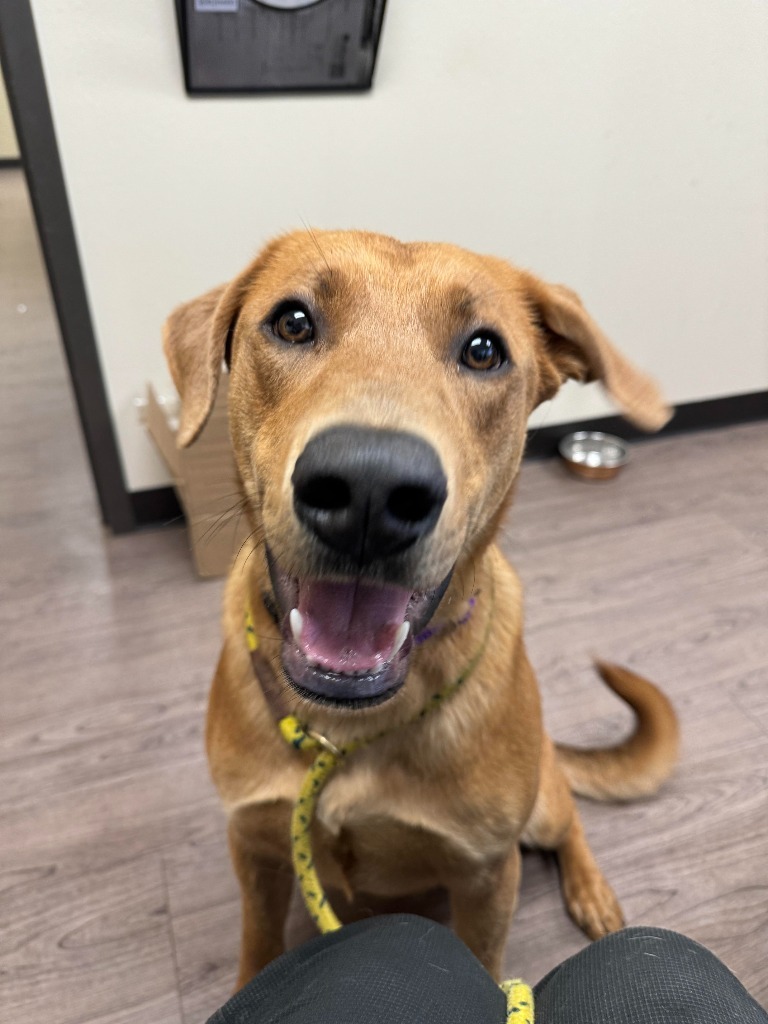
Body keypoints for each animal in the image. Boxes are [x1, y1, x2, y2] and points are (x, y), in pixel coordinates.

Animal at [162, 230, 679, 983]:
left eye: (484, 350)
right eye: (293, 322)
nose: (370, 488)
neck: (346, 730)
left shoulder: (486, 873)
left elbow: (487, 962)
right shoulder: (255, 842)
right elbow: (258, 943)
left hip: (542, 806)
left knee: (570, 824)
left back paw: (591, 890)